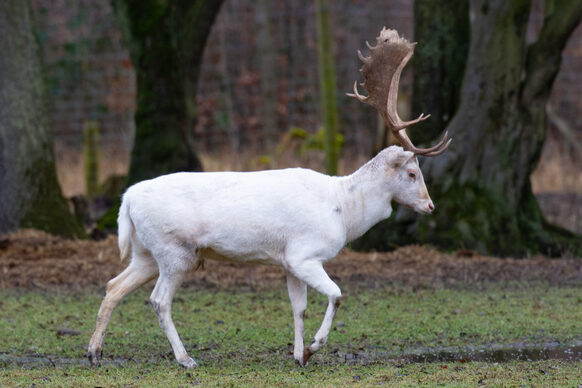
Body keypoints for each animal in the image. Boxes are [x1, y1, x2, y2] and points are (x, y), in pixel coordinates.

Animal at [88, 28, 452, 368]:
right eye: (412, 173)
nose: (430, 205)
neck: (343, 211)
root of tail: (127, 199)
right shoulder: (305, 254)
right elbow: (336, 295)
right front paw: (314, 348)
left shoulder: (289, 261)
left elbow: (299, 308)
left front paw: (299, 355)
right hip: (174, 251)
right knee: (158, 300)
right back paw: (185, 358)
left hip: (145, 252)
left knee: (113, 285)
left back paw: (94, 352)